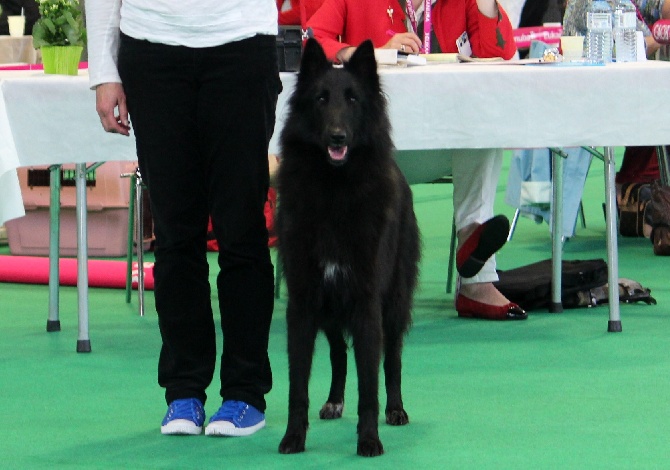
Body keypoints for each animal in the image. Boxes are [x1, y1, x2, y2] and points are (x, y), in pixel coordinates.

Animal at [276, 38, 420, 458]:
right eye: (321, 98)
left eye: (353, 99)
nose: (337, 137)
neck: (334, 190)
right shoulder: (304, 303)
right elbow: (297, 386)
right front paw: (294, 437)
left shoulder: (366, 302)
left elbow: (370, 383)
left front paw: (369, 439)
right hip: (329, 308)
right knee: (339, 354)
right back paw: (334, 401)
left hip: (393, 302)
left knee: (393, 359)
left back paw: (396, 409)